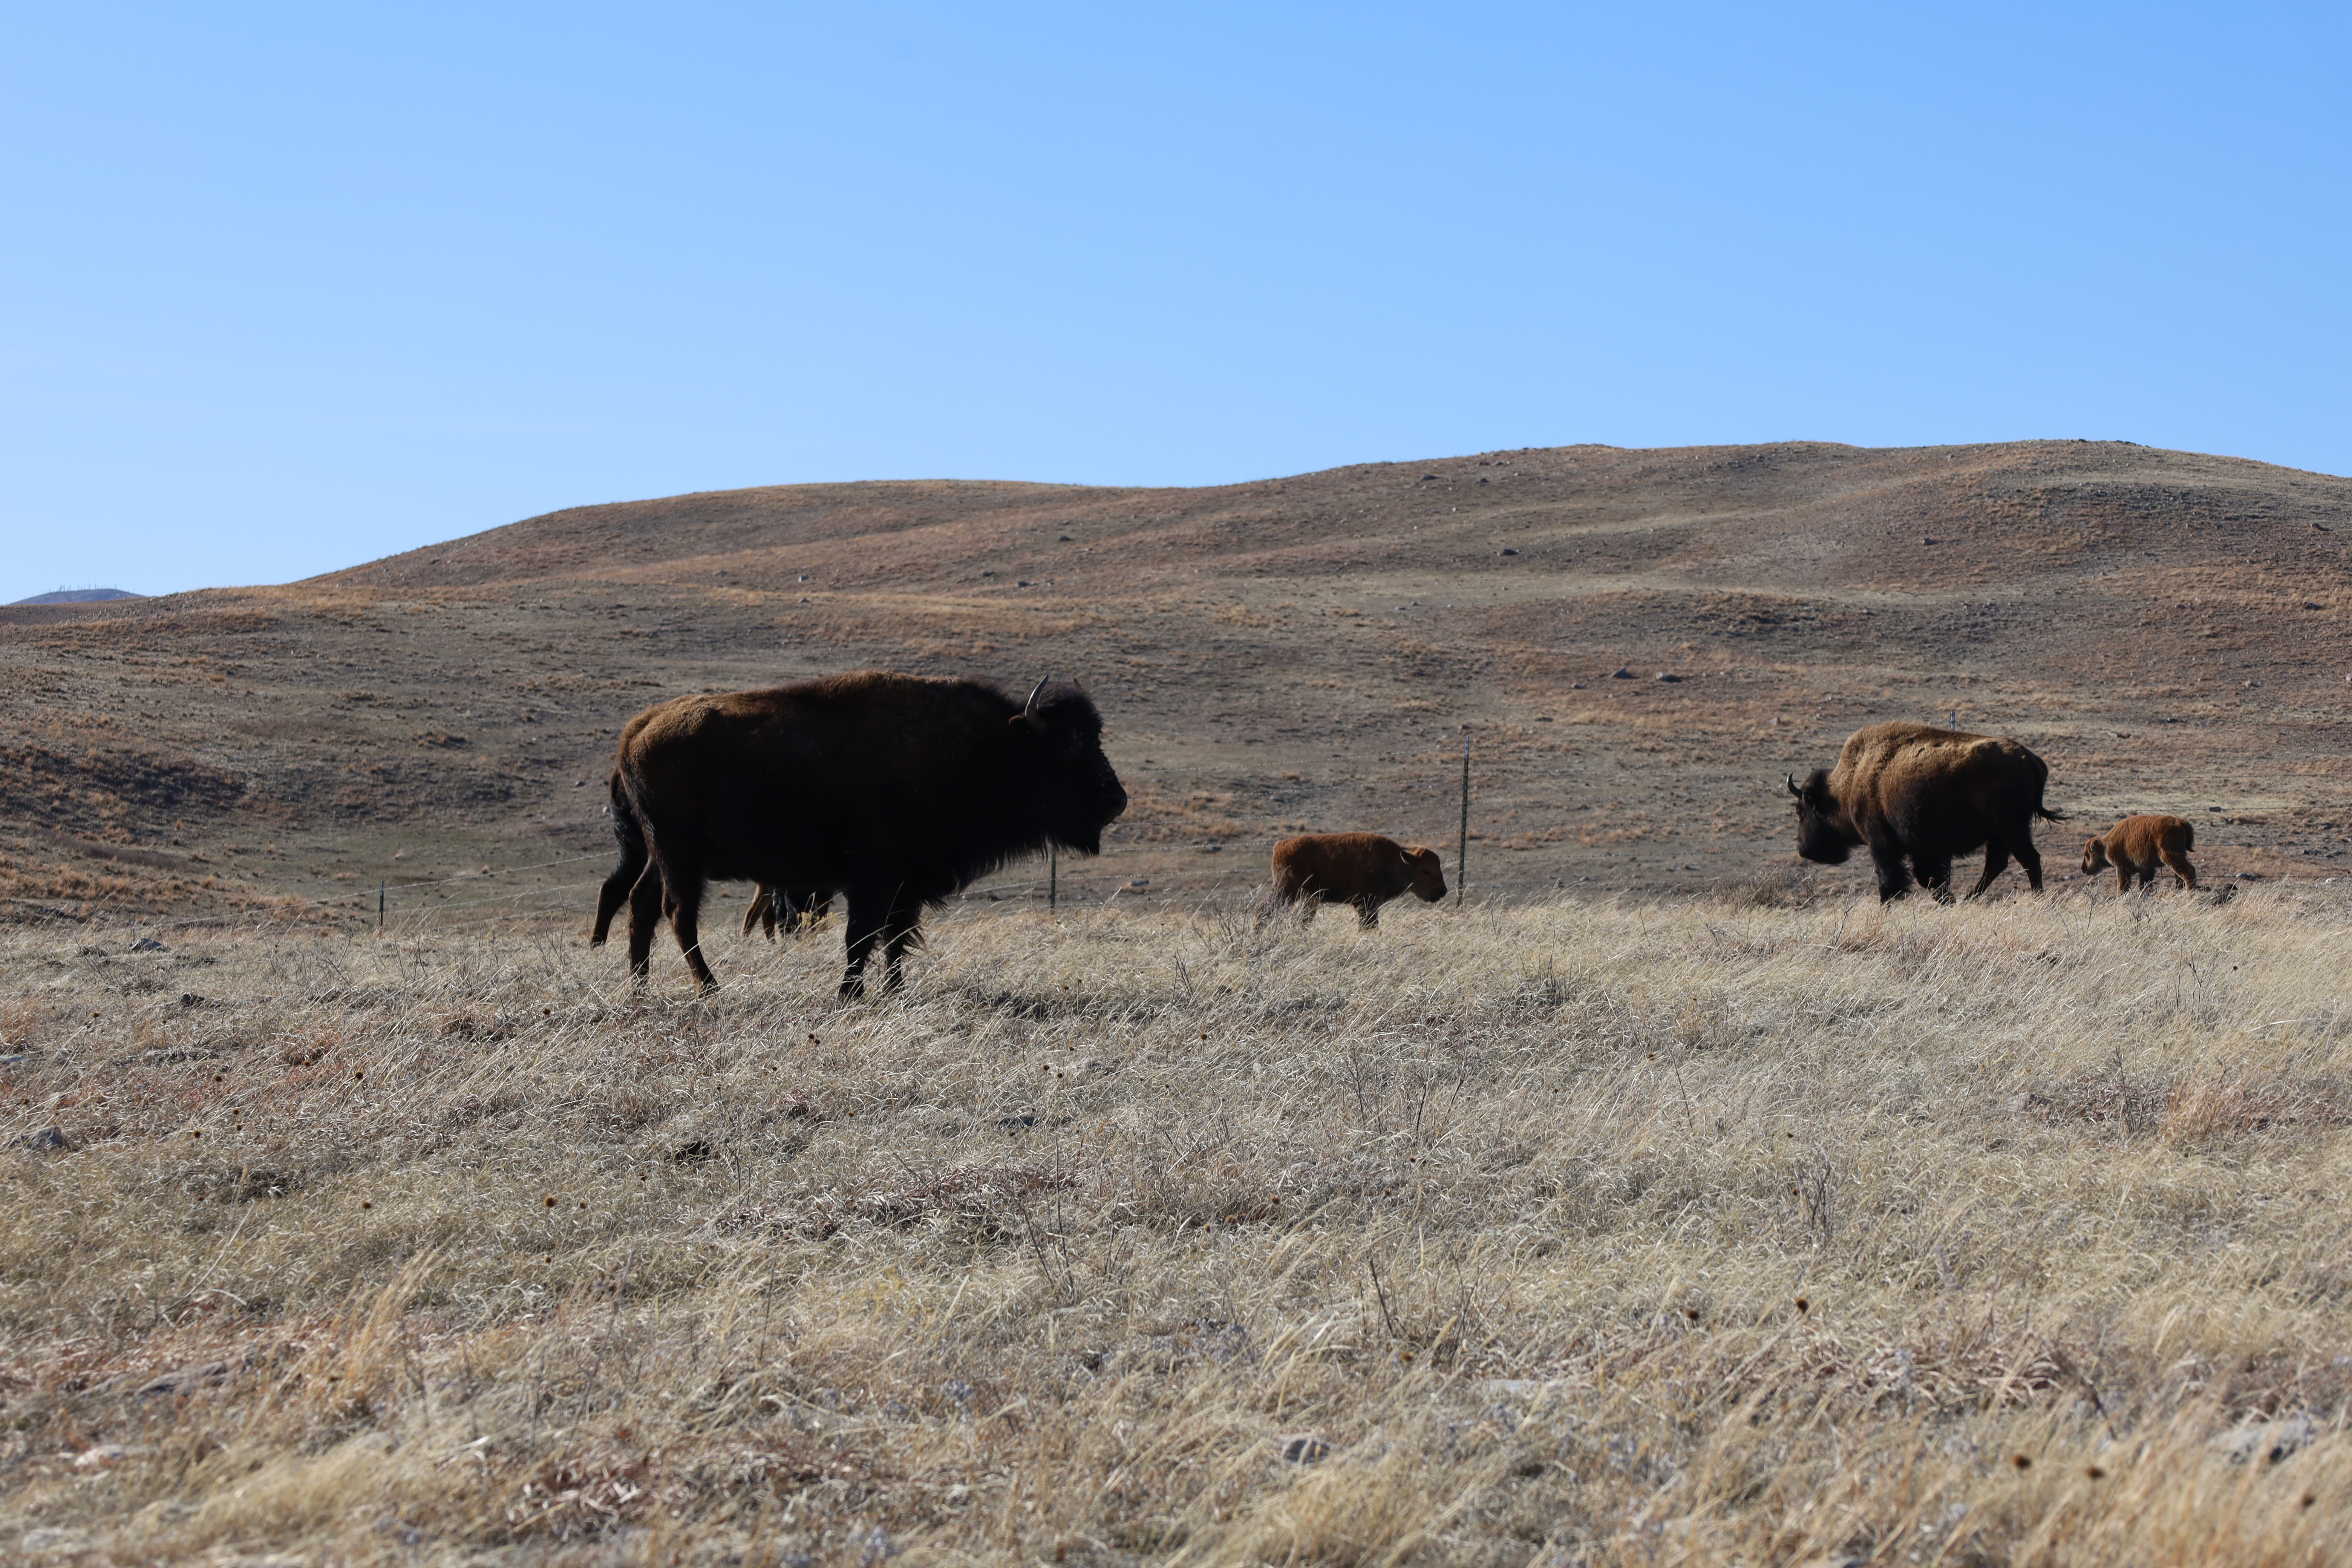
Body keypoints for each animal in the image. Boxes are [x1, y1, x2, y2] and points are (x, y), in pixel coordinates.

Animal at [592, 673, 1126, 994]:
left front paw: (895, 990)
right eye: (1067, 745)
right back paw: (710, 988)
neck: (984, 748)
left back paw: (640, 986)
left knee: (641, 904)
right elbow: (862, 937)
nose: (1117, 800)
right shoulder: (872, 879)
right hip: (680, 856)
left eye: (1095, 737)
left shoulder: (906, 884)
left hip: (660, 856)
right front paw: (851, 993)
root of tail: (637, 730)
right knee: (677, 913)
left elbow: (895, 938)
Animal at [1266, 832, 1448, 927]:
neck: (1392, 860)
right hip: (1286, 891)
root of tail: (1280, 845)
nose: (1442, 891)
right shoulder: (1366, 902)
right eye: (1426, 871)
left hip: (1308, 897)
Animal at [1788, 722, 2063, 901]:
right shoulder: (1921, 849)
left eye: (1802, 812)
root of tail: (2030, 759)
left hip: (2010, 828)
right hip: (2000, 833)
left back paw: (2037, 900)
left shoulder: (1880, 843)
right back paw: (1969, 899)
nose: (1802, 849)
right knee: (1998, 864)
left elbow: (1890, 882)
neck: (1850, 782)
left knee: (2029, 860)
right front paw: (1948, 900)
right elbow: (1929, 879)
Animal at [2082, 814, 2197, 892]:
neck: (2106, 844)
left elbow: (2123, 887)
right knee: (2179, 877)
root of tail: (2180, 823)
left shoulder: (2122, 868)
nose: (2083, 869)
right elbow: (2145, 886)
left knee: (2188, 872)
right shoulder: (2147, 869)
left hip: (2170, 856)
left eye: (2087, 855)